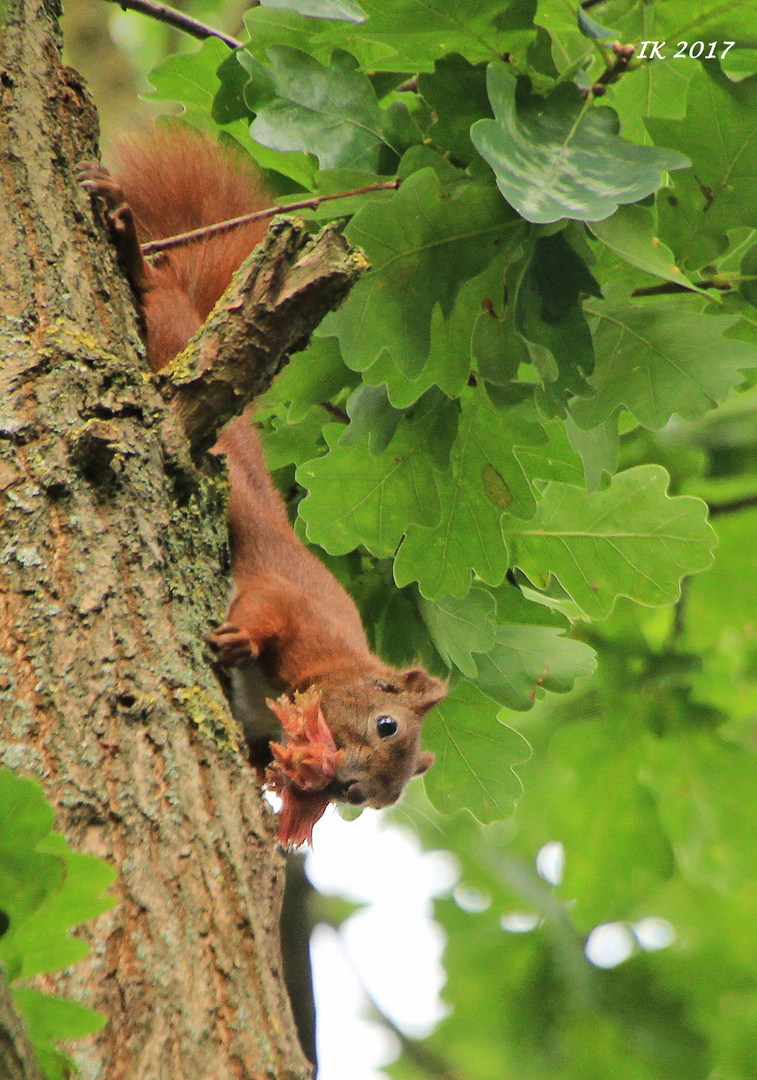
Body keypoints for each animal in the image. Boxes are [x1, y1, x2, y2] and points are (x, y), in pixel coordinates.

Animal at [80, 128, 449, 812]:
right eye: (387, 724)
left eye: (373, 803)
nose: (346, 786)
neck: (338, 667)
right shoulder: (301, 614)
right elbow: (266, 604)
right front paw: (240, 643)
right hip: (174, 336)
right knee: (163, 300)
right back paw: (130, 243)